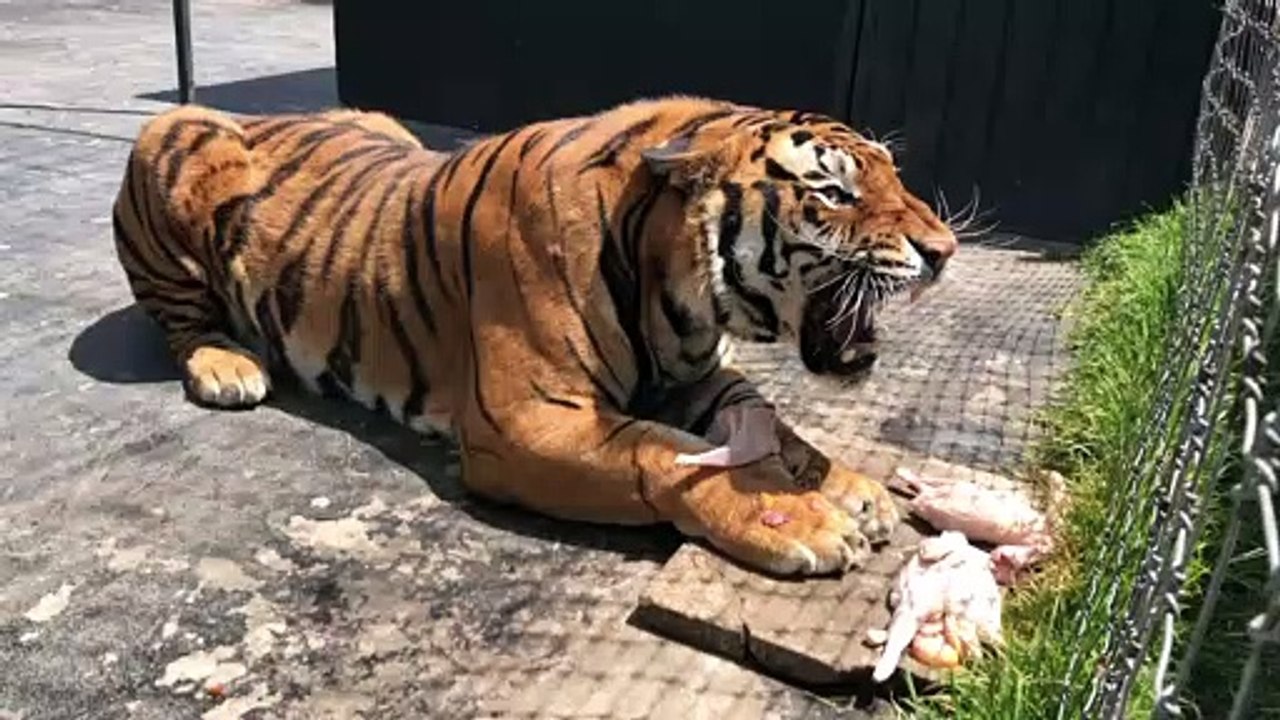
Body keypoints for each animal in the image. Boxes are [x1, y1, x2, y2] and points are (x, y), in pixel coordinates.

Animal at [110, 96, 957, 576]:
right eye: (833, 191)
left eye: (890, 174)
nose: (945, 251)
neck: (676, 288)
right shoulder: (525, 420)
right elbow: (664, 454)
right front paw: (804, 518)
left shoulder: (699, 376)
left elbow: (776, 429)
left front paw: (848, 487)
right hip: (170, 144)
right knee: (179, 320)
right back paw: (227, 365)